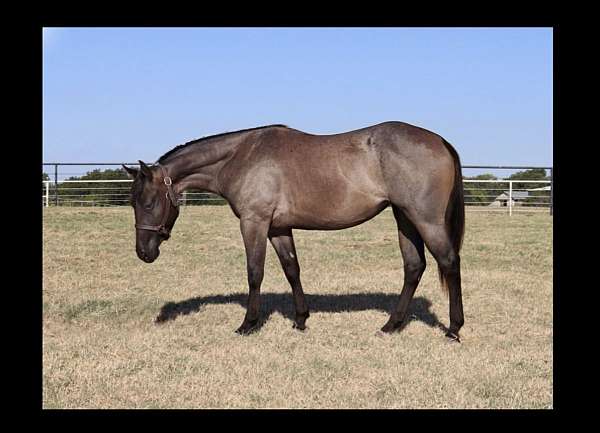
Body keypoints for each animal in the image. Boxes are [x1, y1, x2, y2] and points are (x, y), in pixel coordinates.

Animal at [123, 120, 464, 340]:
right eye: (132, 202)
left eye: (149, 203)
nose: (143, 252)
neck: (242, 156)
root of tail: (440, 140)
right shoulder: (279, 228)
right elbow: (292, 269)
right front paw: (300, 320)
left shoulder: (255, 222)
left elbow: (254, 272)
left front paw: (248, 324)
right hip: (404, 217)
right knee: (414, 266)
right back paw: (391, 326)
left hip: (425, 219)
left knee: (449, 262)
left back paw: (453, 328)